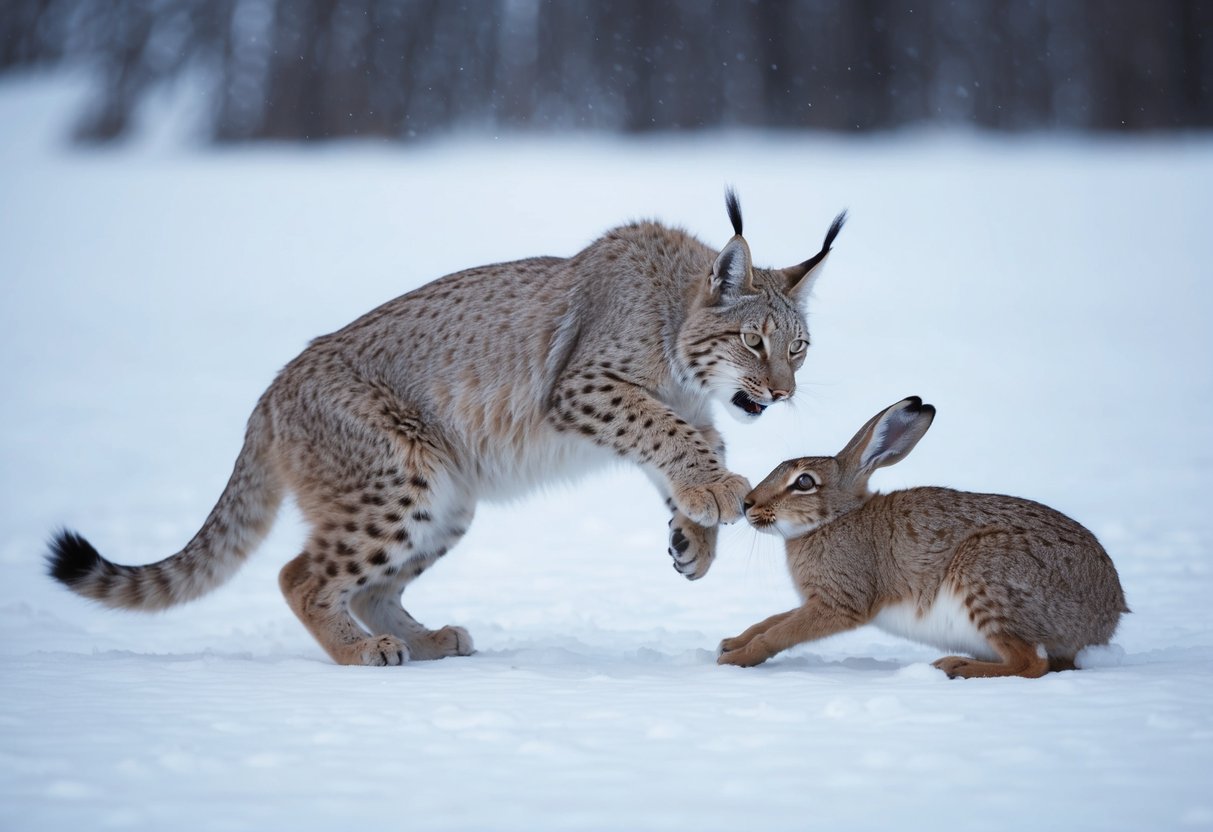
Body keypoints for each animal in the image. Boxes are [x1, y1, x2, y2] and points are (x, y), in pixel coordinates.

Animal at [717, 396, 1128, 678]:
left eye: (804, 482)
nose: (747, 504)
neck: (834, 519)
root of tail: (1106, 615)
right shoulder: (815, 600)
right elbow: (771, 620)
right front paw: (731, 642)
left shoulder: (840, 602)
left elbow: (778, 634)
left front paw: (736, 658)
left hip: (985, 573)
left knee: (1030, 664)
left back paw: (955, 667)